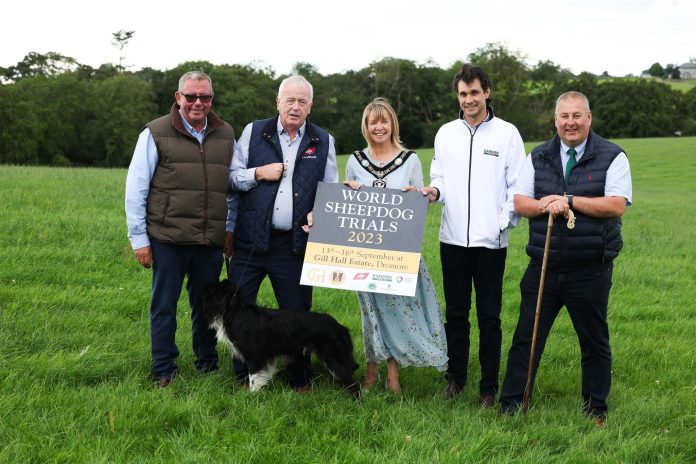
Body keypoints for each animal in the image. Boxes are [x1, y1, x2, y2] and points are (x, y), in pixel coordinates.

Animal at [204, 280, 362, 398]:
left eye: (211, 292)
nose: (206, 283)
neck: (233, 311)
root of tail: (340, 326)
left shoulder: (255, 357)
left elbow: (254, 378)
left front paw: (251, 397)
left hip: (333, 357)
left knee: (354, 384)